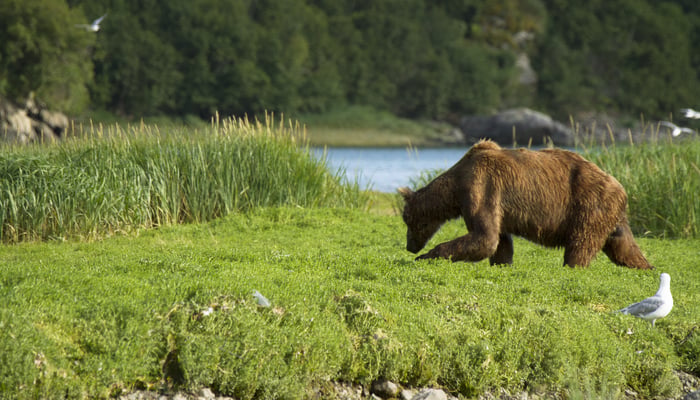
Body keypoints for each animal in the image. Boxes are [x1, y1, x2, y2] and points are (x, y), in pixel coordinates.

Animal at [398, 140, 653, 269]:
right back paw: (646, 266)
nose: (410, 246)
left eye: (407, 221)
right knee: (624, 246)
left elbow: (484, 237)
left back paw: (571, 266)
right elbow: (499, 241)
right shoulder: (495, 202)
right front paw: (502, 263)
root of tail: (621, 187)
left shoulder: (481, 186)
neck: (456, 182)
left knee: (581, 244)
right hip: (611, 216)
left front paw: (427, 255)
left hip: (589, 205)